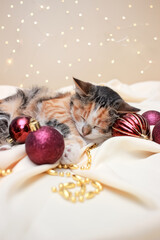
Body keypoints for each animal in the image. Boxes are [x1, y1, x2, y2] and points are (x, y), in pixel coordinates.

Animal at [0, 79, 139, 165]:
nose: (85, 131)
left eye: (97, 126)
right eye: (82, 117)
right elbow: (69, 127)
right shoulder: (53, 106)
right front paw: (70, 150)